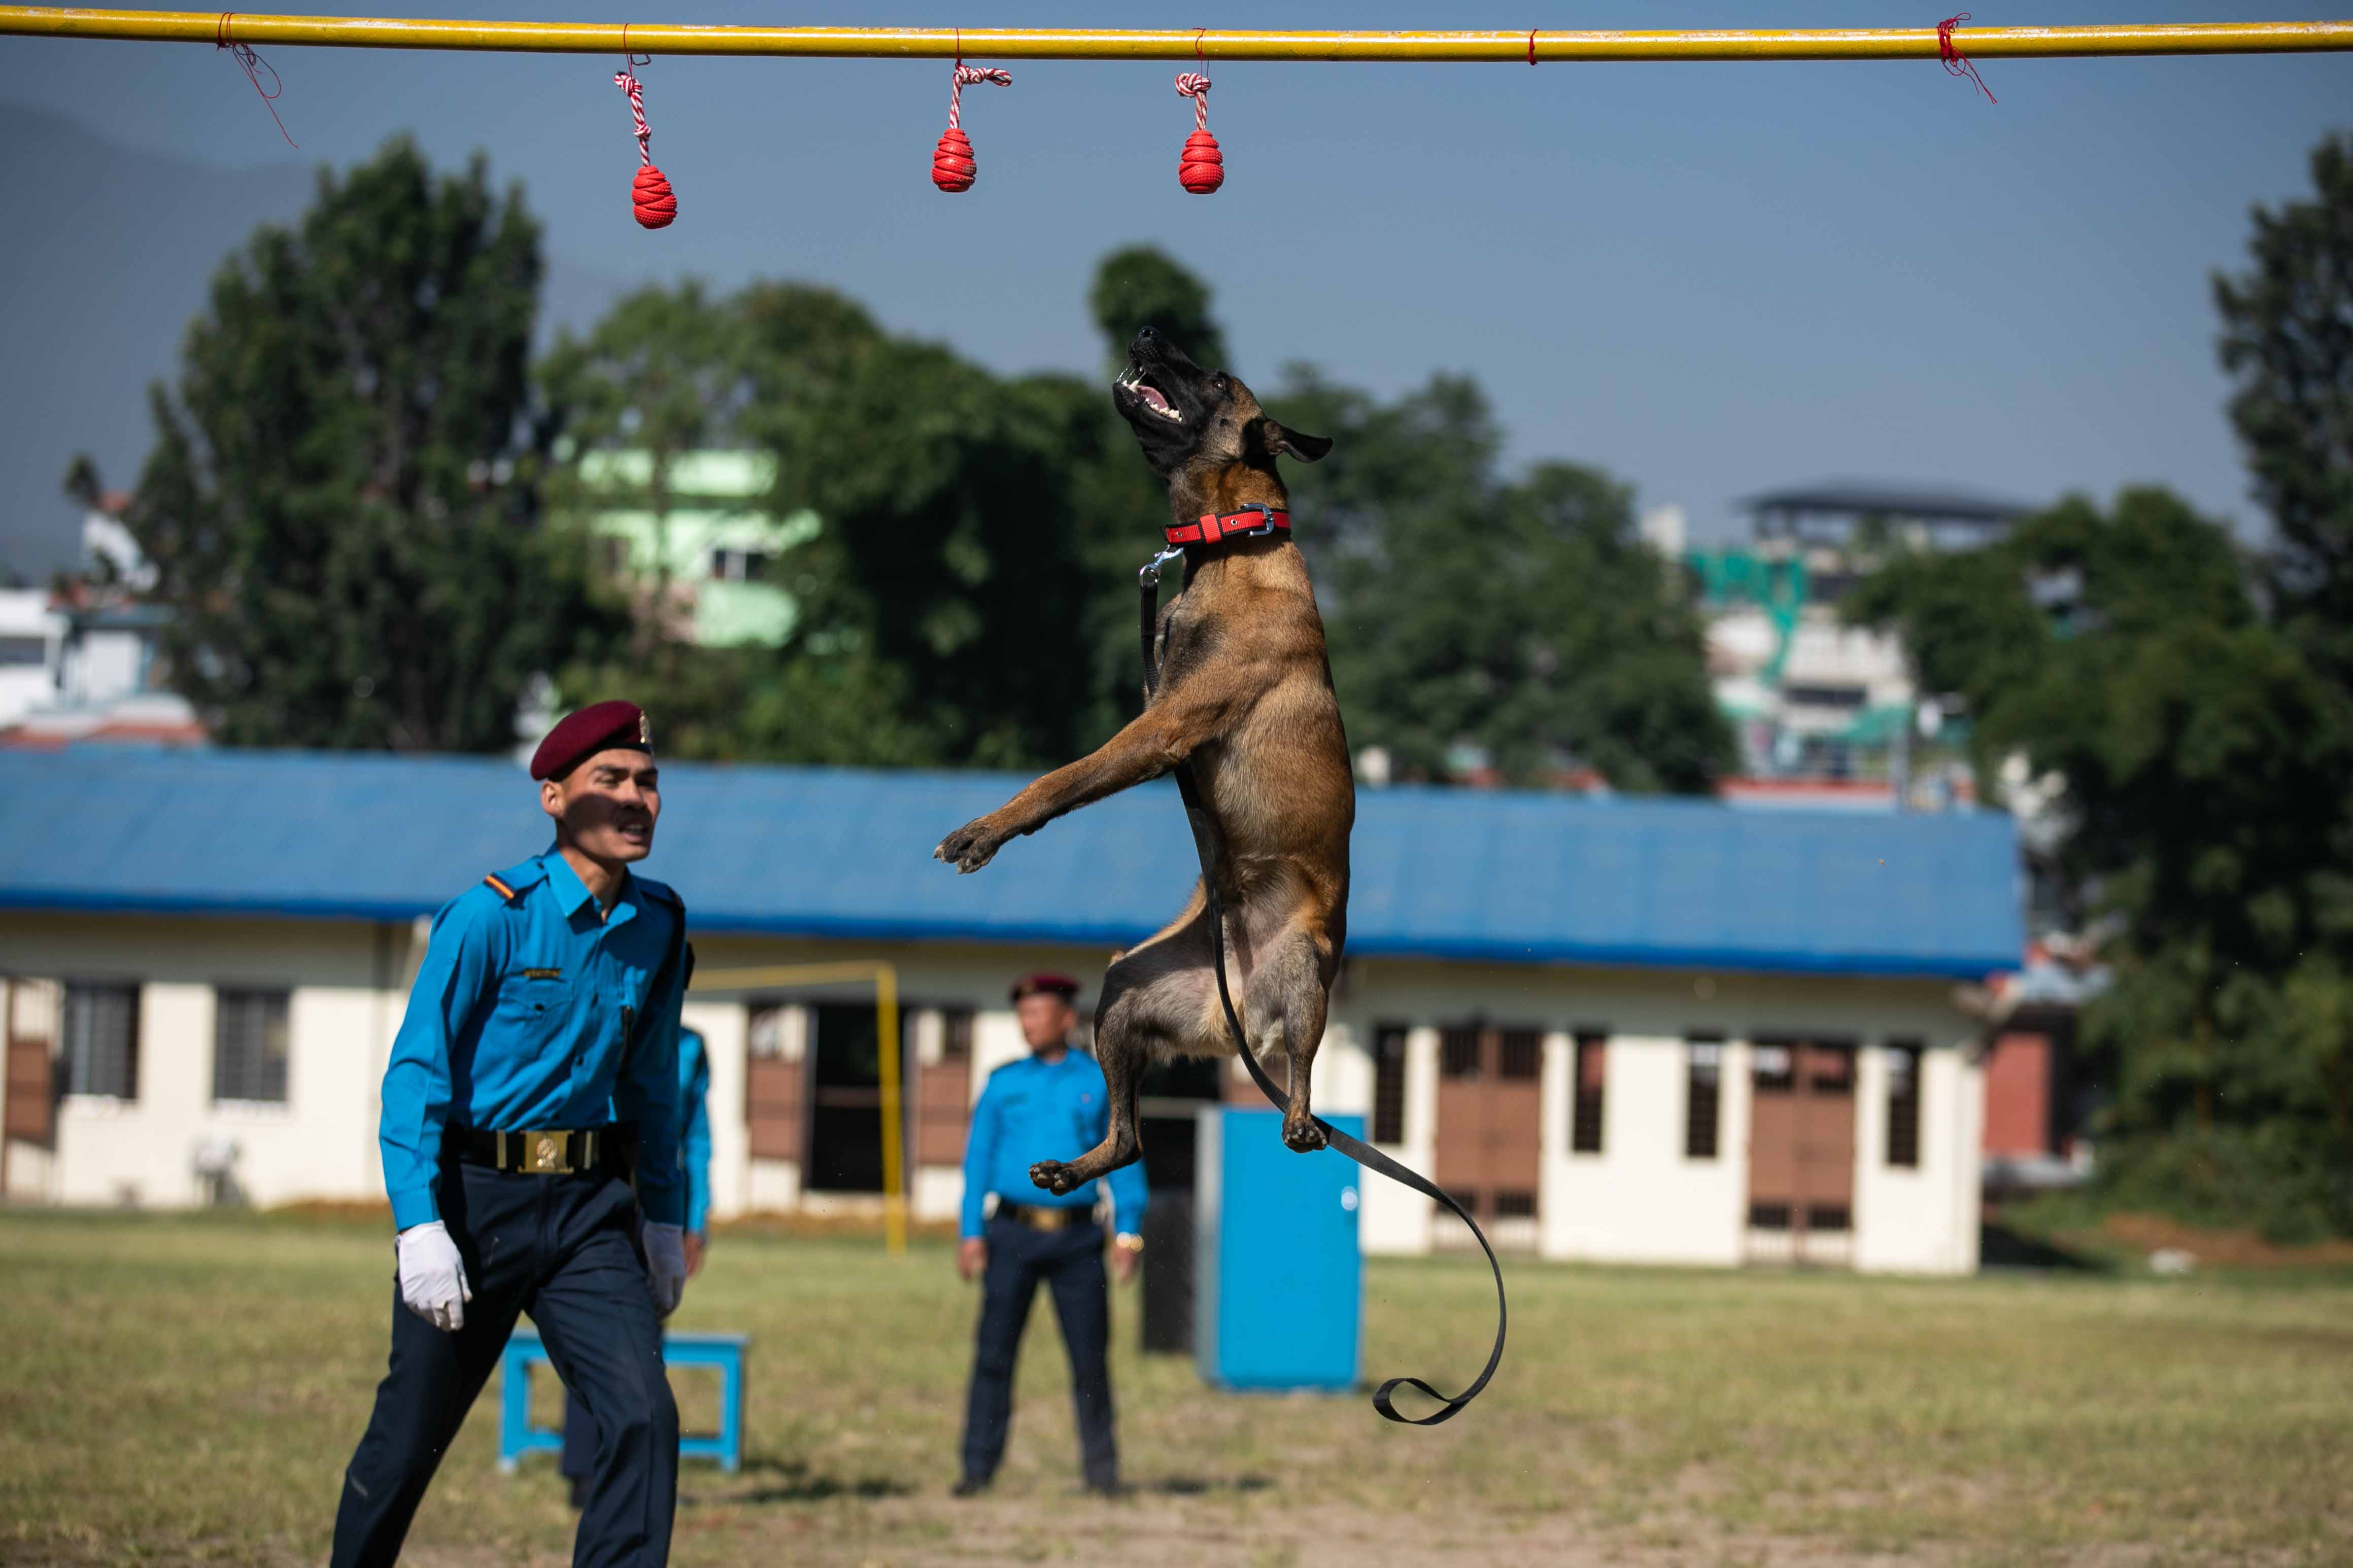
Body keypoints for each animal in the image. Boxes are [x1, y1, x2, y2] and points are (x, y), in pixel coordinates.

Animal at [932, 329, 1355, 1189]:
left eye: (1217, 378)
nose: (1150, 332)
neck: (1235, 545)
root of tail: (1237, 1013)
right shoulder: (1158, 715)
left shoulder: (1161, 727)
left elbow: (1057, 780)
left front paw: (984, 830)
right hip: (1125, 986)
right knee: (1128, 1138)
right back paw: (1074, 1167)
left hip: (1304, 966)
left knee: (1300, 1074)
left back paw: (1300, 1119)